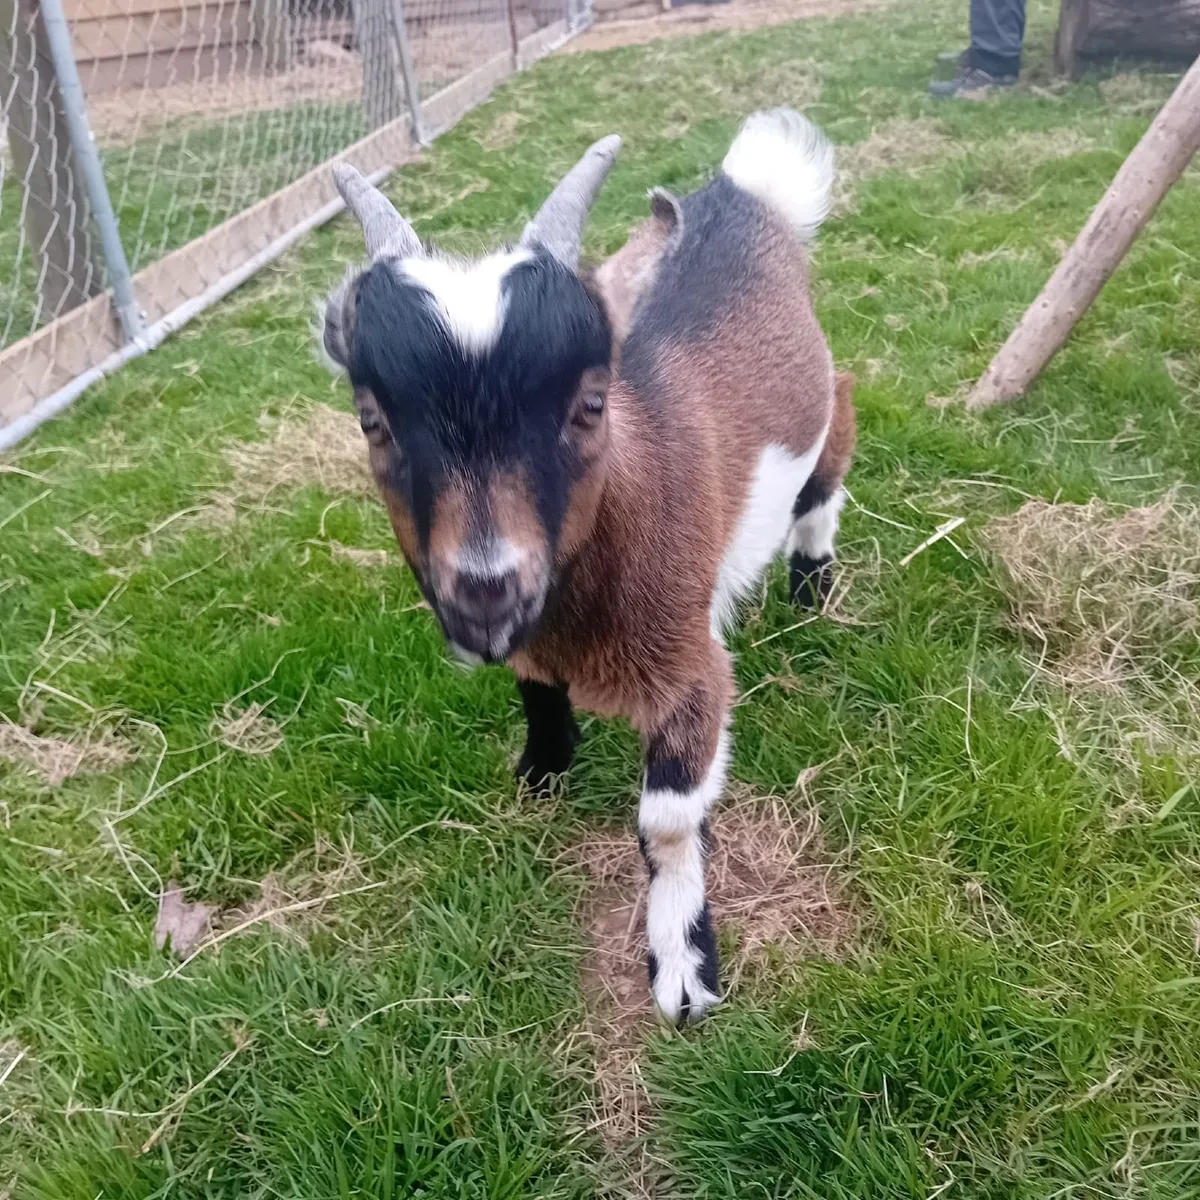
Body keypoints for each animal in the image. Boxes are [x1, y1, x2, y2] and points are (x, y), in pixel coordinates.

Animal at [321, 108, 855, 1024]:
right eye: (372, 421)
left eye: (591, 404)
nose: (484, 587)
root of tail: (746, 197)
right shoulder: (531, 643)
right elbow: (536, 690)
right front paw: (541, 771)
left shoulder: (692, 669)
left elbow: (666, 824)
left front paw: (683, 971)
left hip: (821, 403)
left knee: (833, 453)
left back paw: (812, 583)